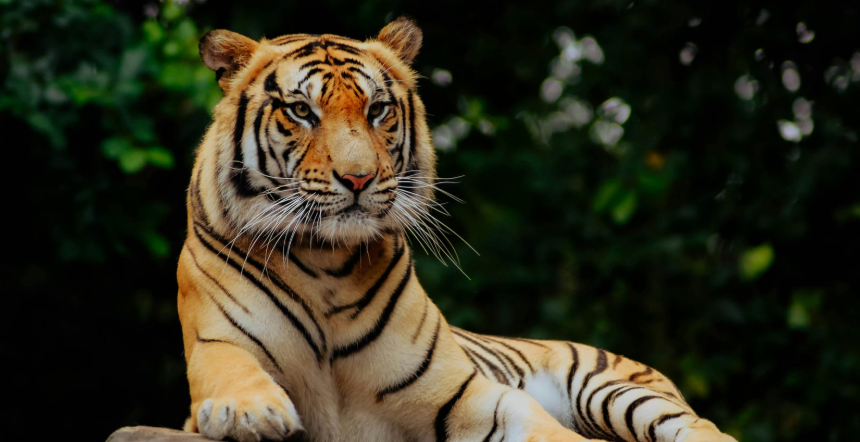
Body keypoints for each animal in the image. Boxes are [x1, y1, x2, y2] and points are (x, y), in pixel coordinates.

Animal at [177, 17, 738, 442]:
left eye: (377, 110)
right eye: (301, 110)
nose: (358, 177)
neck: (326, 263)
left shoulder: (463, 393)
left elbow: (541, 425)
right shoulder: (217, 341)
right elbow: (233, 369)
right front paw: (248, 412)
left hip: (614, 389)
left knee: (709, 430)